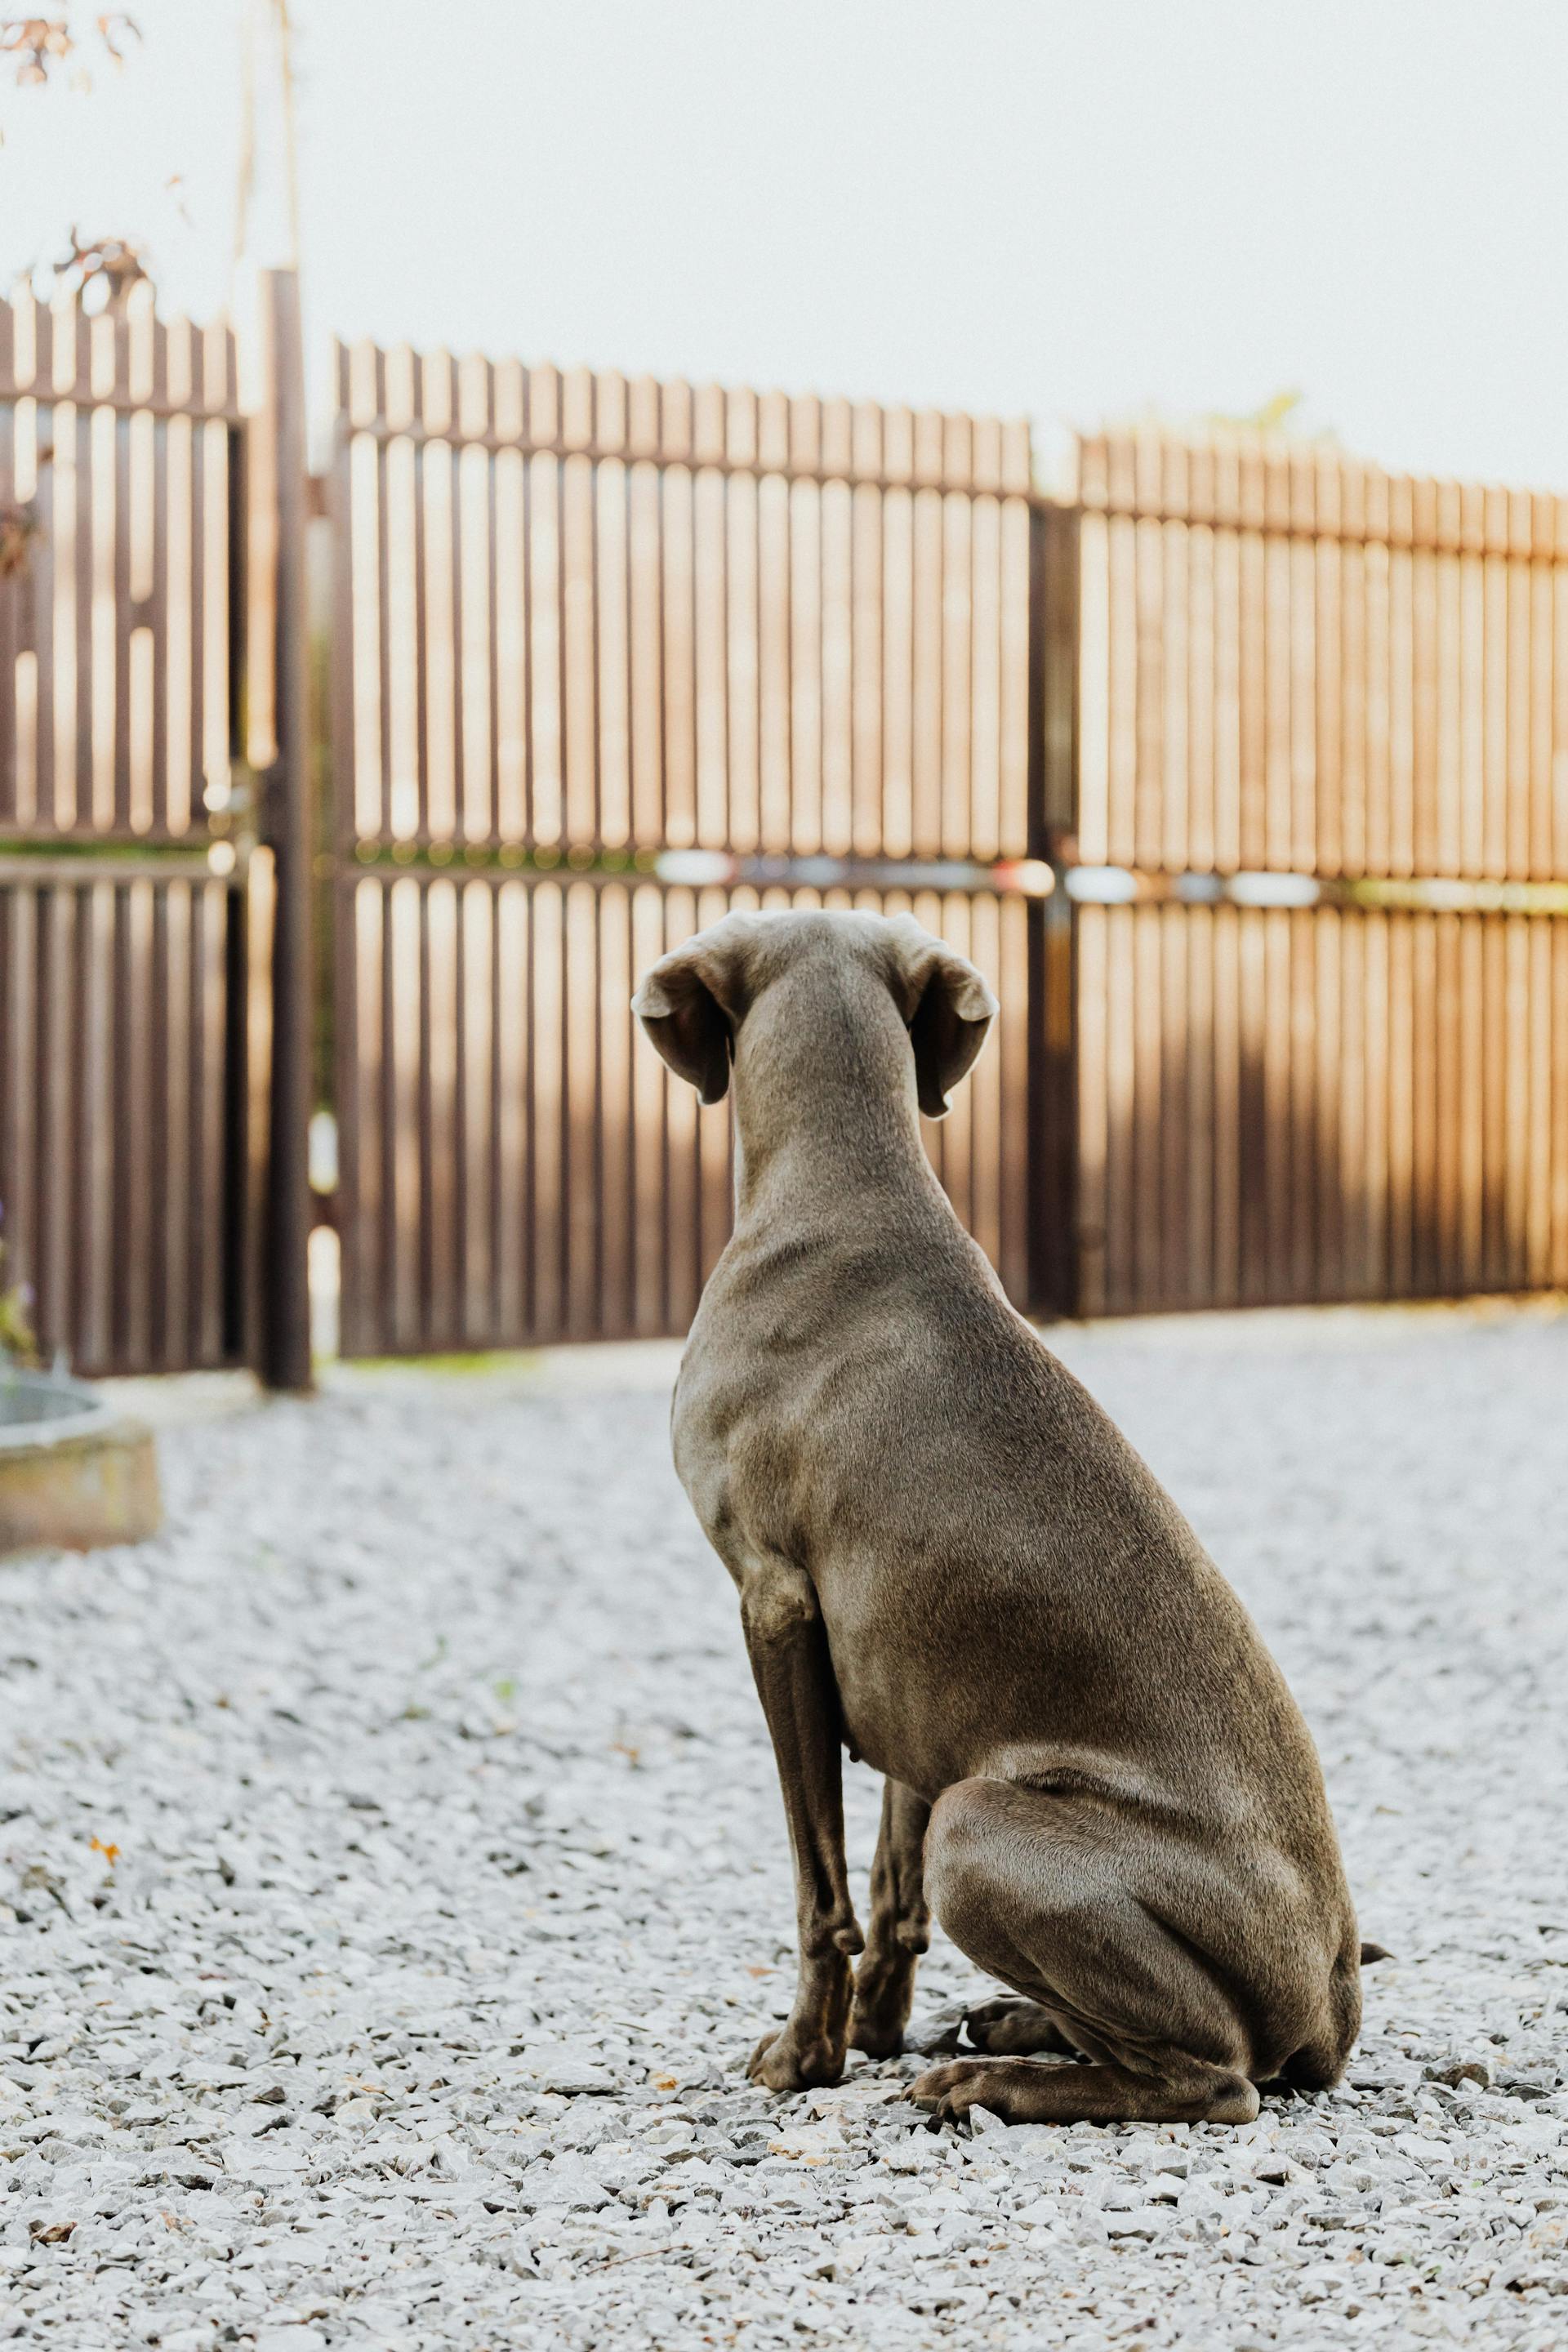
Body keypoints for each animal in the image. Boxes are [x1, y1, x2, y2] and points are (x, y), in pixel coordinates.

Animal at [630, 907, 1363, 2126]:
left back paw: (998, 2076)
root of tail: (1336, 2003)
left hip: (982, 1823)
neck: (849, 1186)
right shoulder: (911, 1680)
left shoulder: (775, 1603)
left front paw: (805, 2056)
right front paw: (873, 2035)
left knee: (1216, 2080)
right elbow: (886, 1888)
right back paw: (1017, 2023)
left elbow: (819, 1881)